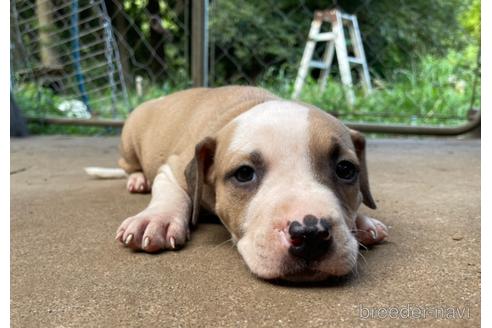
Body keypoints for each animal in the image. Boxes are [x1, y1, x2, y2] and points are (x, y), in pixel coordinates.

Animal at [88, 86, 388, 282]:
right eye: (244, 174)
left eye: (345, 169)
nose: (310, 232)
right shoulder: (172, 169)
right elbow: (172, 193)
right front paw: (156, 219)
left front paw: (363, 223)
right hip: (130, 138)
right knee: (128, 165)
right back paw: (138, 179)